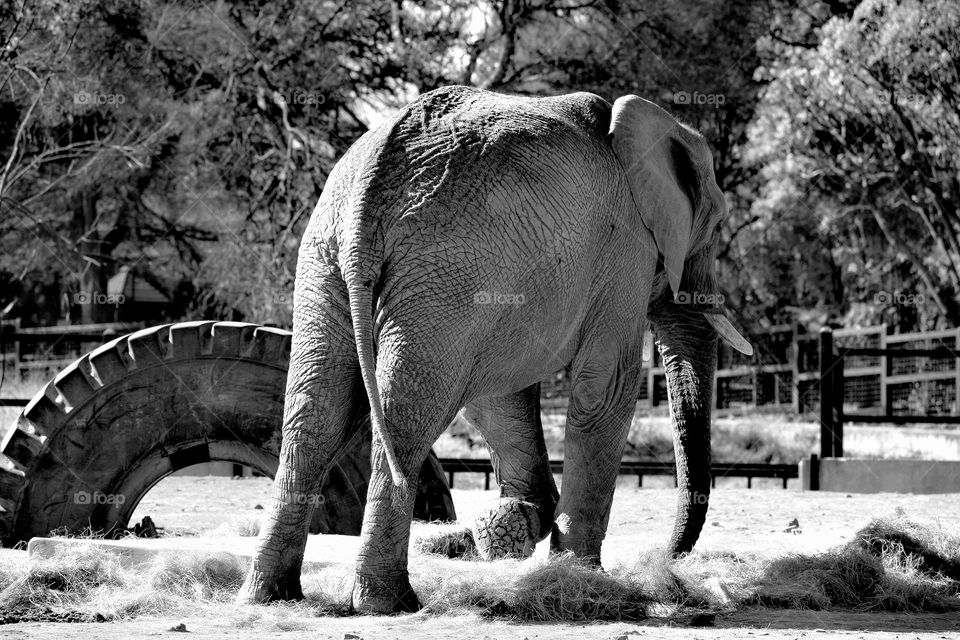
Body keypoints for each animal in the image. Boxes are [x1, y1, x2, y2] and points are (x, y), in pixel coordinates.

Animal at [238, 85, 752, 613]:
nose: (668, 556)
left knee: (315, 414)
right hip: (444, 275)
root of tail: (366, 198)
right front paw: (581, 575)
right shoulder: (625, 253)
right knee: (406, 420)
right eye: (716, 228)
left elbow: (498, 392)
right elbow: (605, 388)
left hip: (328, 265)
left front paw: (516, 523)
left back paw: (271, 595)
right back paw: (390, 602)